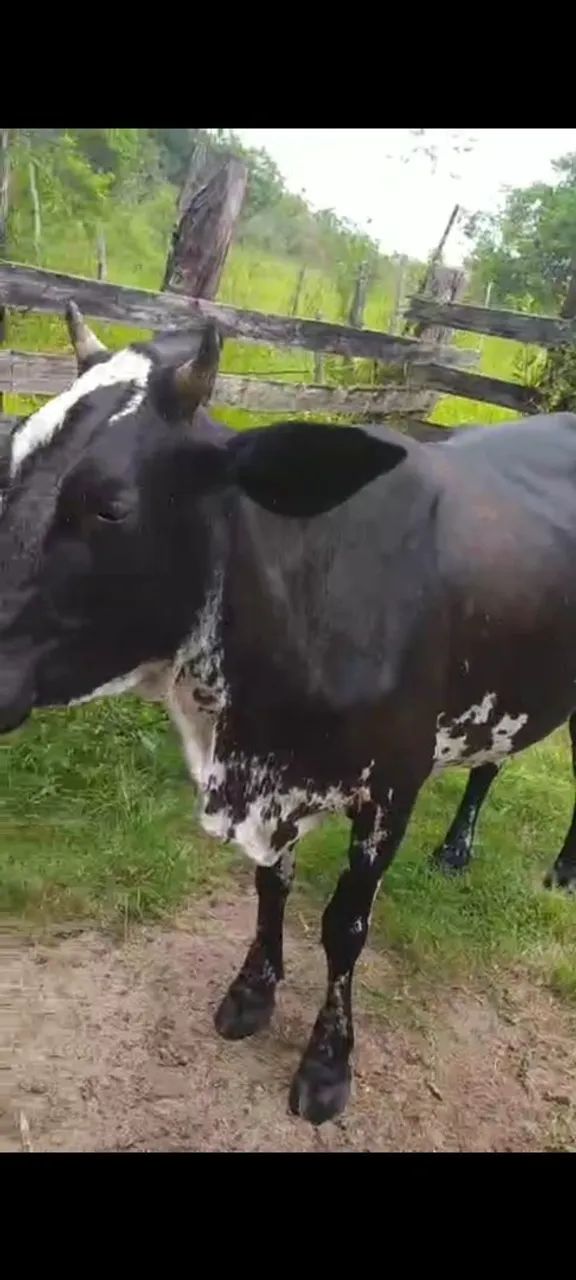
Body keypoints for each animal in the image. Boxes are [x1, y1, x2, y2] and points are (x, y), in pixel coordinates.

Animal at [1, 306, 576, 1128]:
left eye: (111, 505)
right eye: (8, 466)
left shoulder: (393, 785)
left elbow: (345, 925)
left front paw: (327, 1064)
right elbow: (271, 887)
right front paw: (251, 992)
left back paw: (562, 869)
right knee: (493, 755)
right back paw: (457, 849)